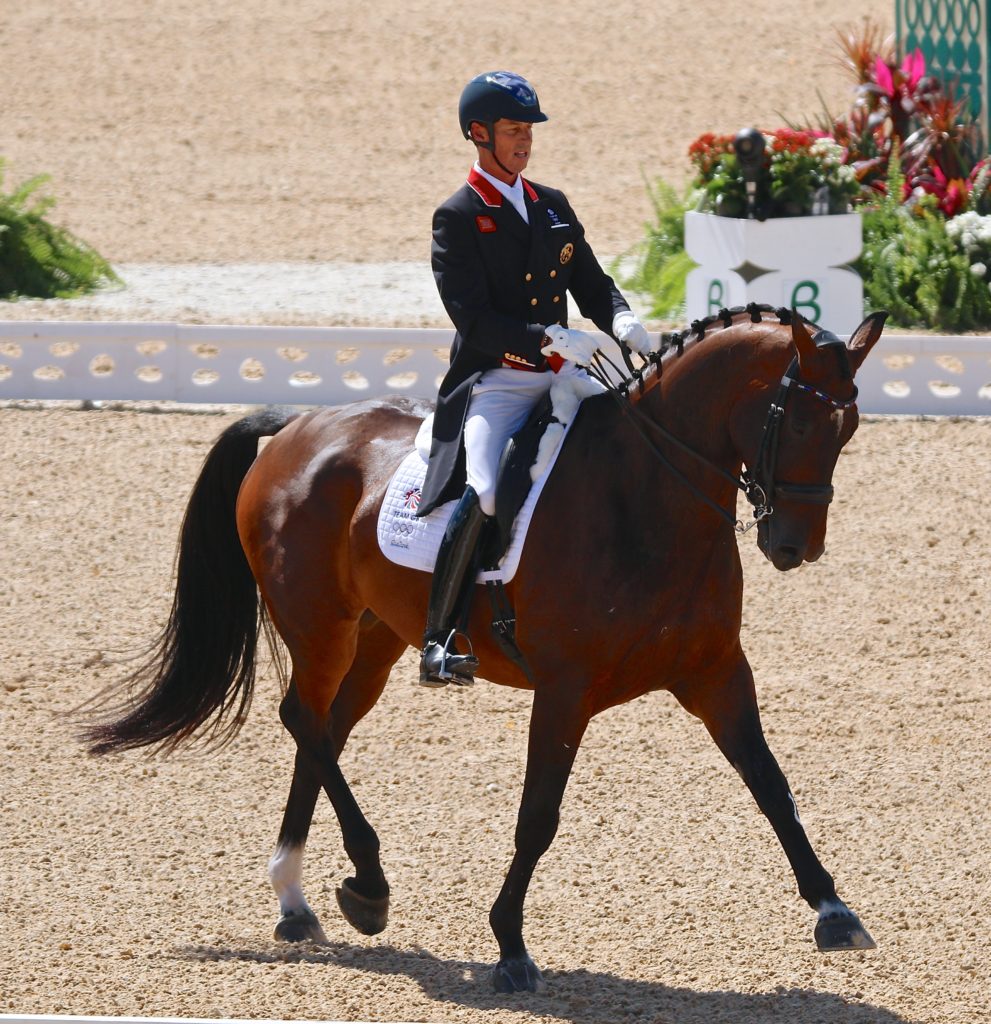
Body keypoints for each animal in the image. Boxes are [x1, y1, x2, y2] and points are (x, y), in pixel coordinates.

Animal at [89, 305, 884, 991]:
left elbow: (772, 786)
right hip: (320, 626)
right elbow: (538, 818)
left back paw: (300, 899)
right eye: (797, 418)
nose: (794, 547)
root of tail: (296, 426)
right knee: (302, 720)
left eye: (847, 428)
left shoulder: (716, 672)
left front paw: (834, 912)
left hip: (376, 639)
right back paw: (364, 887)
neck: (646, 497)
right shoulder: (566, 690)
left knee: (324, 730)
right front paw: (509, 946)